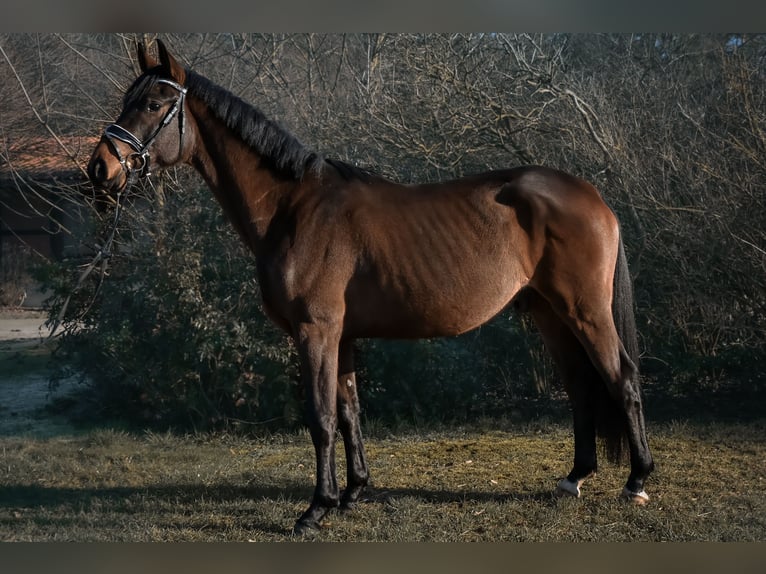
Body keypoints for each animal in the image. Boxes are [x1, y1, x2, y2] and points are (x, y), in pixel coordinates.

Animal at [87, 39, 656, 536]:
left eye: (154, 103)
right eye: (127, 100)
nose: (100, 167)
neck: (294, 209)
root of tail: (592, 196)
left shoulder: (315, 331)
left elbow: (320, 417)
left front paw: (315, 510)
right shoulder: (342, 336)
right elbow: (349, 411)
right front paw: (352, 493)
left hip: (585, 311)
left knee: (622, 379)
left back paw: (637, 481)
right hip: (548, 313)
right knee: (581, 386)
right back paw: (575, 478)